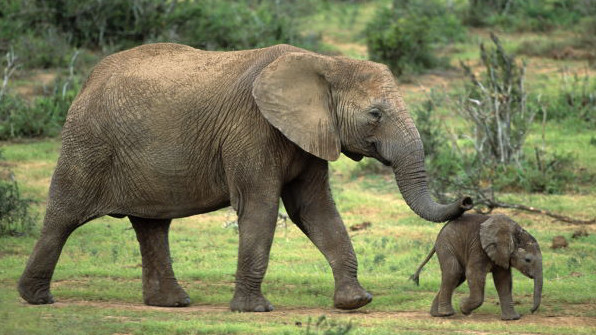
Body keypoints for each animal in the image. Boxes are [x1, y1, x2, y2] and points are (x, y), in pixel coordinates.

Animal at [18, 43, 472, 314]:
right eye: (375, 114)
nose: (468, 201)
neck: (323, 62)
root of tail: (87, 80)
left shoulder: (307, 133)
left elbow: (315, 211)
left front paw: (356, 302)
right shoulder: (251, 129)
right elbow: (261, 207)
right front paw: (253, 310)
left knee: (152, 225)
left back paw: (171, 304)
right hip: (88, 142)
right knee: (64, 214)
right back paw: (36, 299)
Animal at [412, 214, 544, 322]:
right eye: (527, 260)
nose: (531, 311)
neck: (513, 232)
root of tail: (440, 233)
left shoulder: (501, 254)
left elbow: (504, 280)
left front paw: (512, 319)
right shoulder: (478, 247)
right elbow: (474, 274)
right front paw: (463, 307)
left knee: (458, 277)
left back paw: (437, 314)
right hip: (446, 245)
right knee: (454, 272)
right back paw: (447, 313)